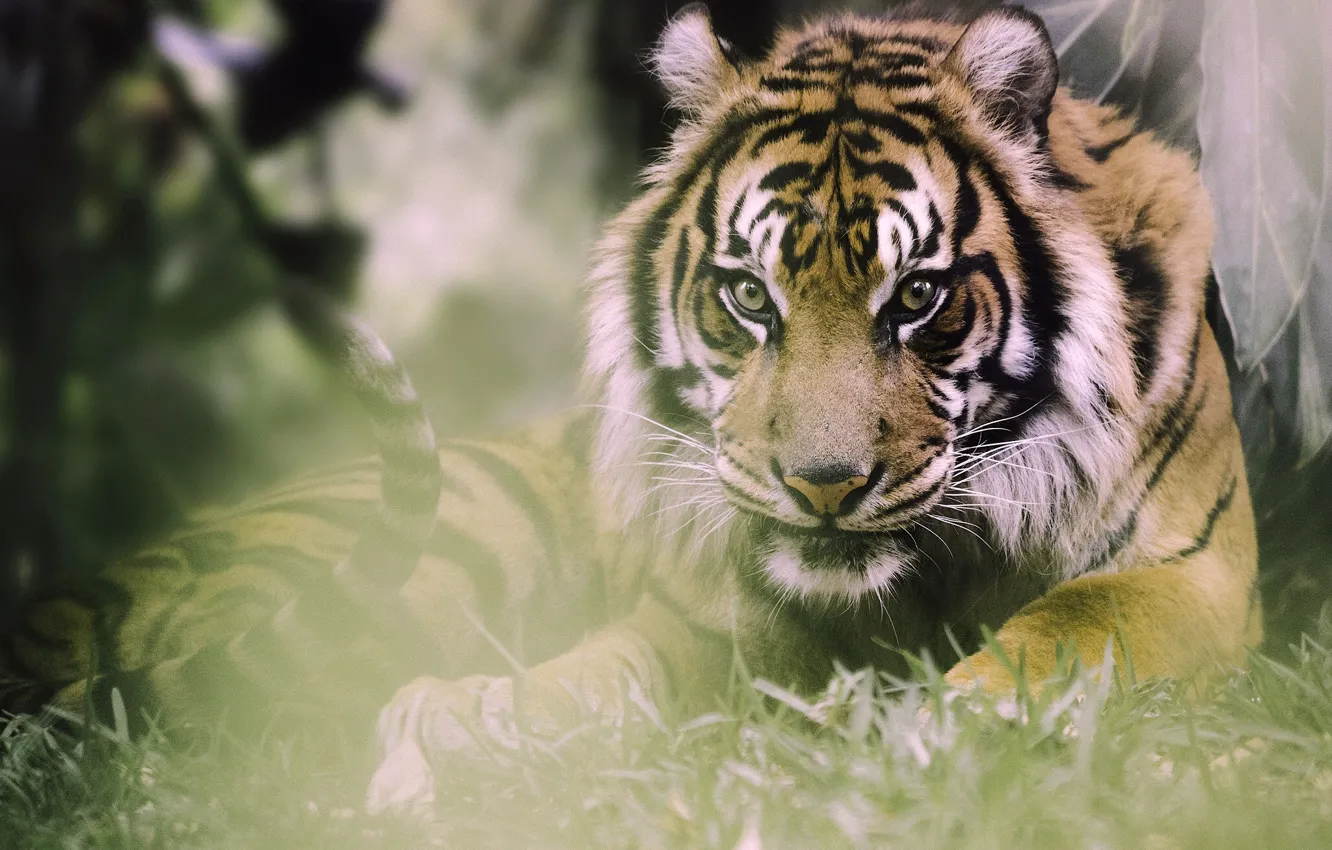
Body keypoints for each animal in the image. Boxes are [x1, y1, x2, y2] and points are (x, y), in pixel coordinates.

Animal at [0, 3, 1259, 817]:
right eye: (749, 295)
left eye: (917, 297)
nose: (823, 486)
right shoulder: (714, 615)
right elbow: (596, 672)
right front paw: (460, 736)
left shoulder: (1190, 573)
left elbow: (1067, 628)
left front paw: (935, 733)